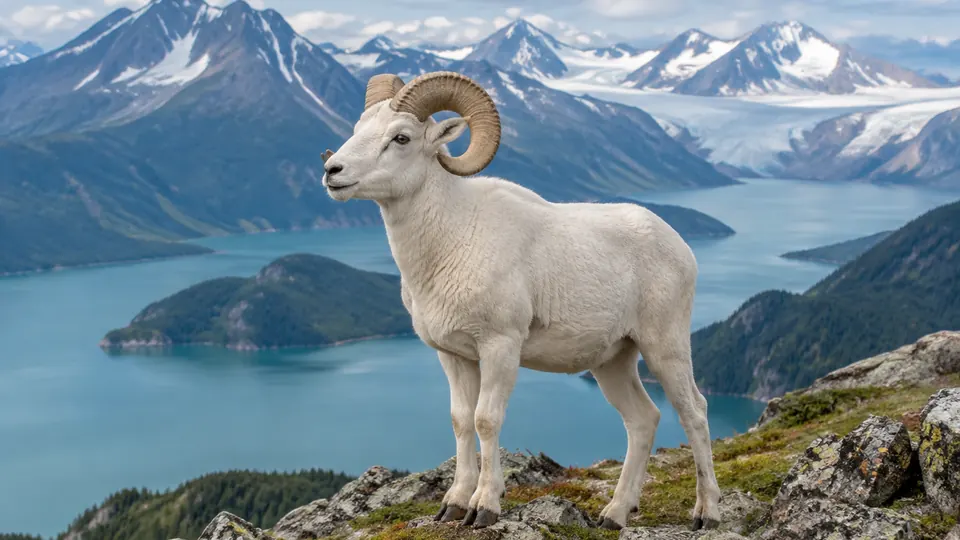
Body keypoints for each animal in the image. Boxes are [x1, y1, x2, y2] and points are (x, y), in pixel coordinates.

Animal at [321, 71, 721, 531]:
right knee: (643, 420)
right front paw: (453, 505)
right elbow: (461, 421)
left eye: (400, 137)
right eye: (358, 128)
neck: (450, 240)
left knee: (694, 412)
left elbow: (486, 420)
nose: (332, 171)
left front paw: (484, 508)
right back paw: (614, 515)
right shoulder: (455, 356)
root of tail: (680, 247)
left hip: (664, 346)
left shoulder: (500, 347)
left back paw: (706, 514)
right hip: (613, 361)